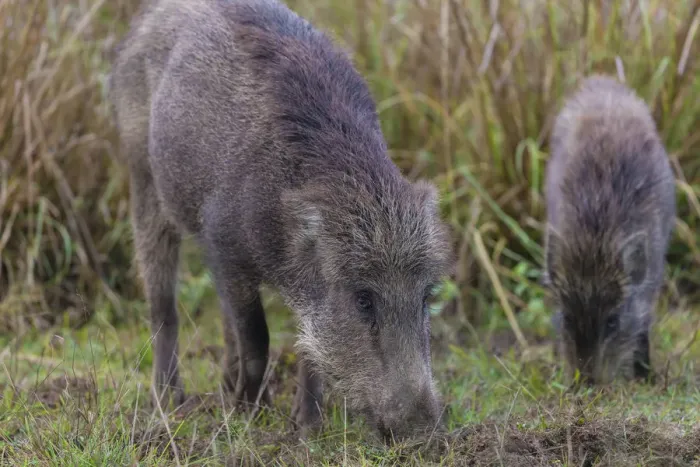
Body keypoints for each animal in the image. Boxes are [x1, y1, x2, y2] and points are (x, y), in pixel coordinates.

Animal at [109, 0, 453, 441]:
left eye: (426, 296)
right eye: (362, 298)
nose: (423, 433)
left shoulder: (304, 288)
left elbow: (306, 345)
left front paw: (307, 429)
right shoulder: (225, 245)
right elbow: (258, 340)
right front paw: (248, 415)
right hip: (143, 178)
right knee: (162, 304)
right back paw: (172, 401)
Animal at [543, 74, 675, 385]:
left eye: (612, 321)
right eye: (567, 318)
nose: (586, 382)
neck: (595, 237)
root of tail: (601, 81)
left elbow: (642, 326)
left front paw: (645, 377)